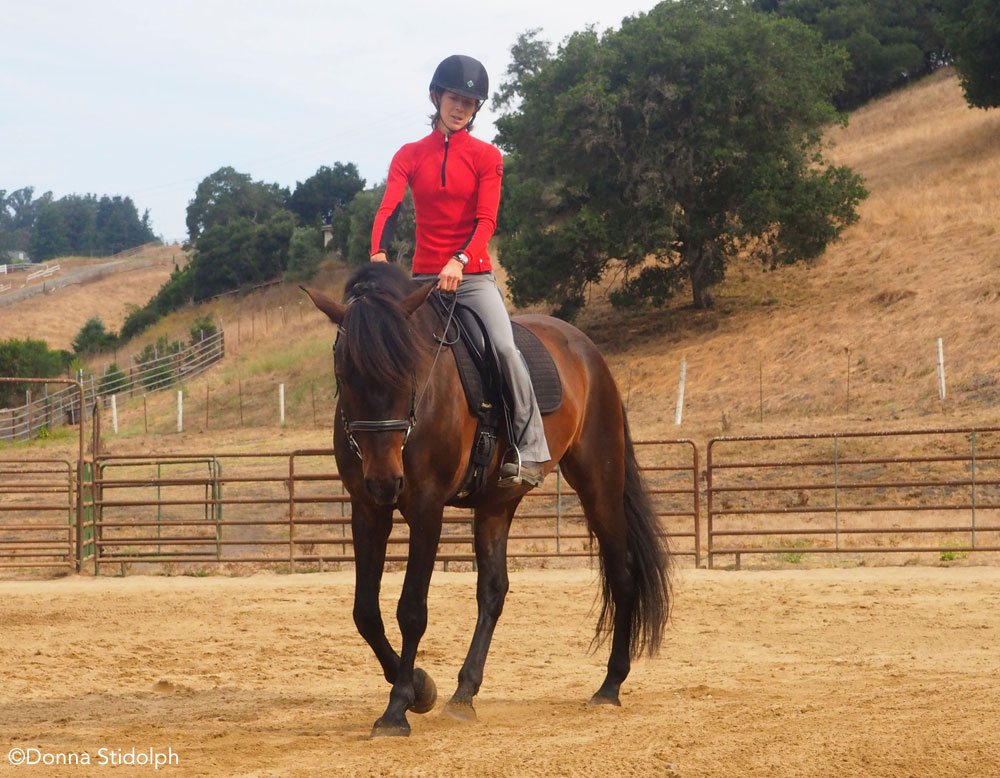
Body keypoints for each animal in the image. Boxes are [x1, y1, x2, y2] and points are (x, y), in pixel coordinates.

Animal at [300, 264, 668, 736]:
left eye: (407, 372)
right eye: (344, 375)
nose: (384, 479)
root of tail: (589, 352)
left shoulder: (426, 508)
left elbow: (411, 609)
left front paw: (398, 707)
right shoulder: (367, 509)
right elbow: (365, 611)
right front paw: (421, 688)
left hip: (598, 480)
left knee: (621, 572)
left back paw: (609, 686)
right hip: (496, 503)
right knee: (493, 590)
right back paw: (464, 693)